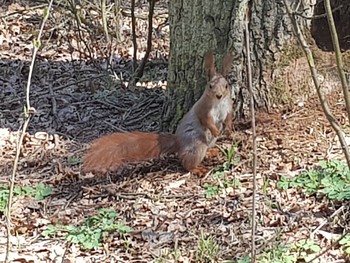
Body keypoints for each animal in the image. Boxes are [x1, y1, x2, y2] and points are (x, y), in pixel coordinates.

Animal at [83, 50, 234, 174]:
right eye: (210, 86)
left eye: (226, 86)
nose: (219, 95)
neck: (219, 103)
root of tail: (178, 142)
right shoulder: (203, 109)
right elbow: (206, 120)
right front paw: (215, 130)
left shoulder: (228, 107)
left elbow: (228, 117)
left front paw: (229, 129)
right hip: (196, 146)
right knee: (186, 163)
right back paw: (197, 169)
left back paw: (212, 151)